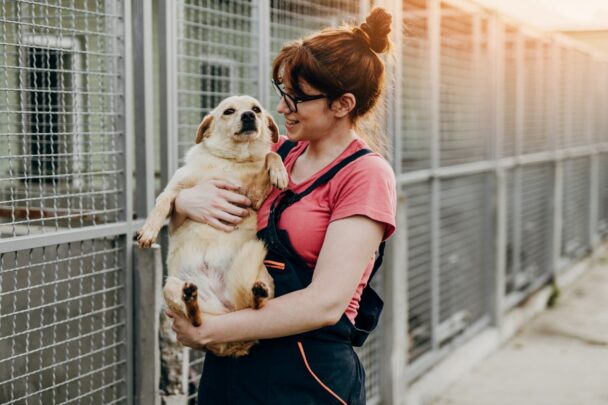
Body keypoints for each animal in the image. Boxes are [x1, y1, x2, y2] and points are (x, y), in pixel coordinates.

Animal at [137, 96, 288, 356]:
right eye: (229, 111)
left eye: (256, 109)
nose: (249, 115)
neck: (231, 161)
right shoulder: (176, 188)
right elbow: (163, 201)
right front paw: (149, 230)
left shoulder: (253, 197)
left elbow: (270, 156)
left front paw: (279, 172)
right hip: (170, 287)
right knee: (197, 322)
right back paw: (191, 301)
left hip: (263, 277)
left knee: (255, 307)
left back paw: (256, 295)